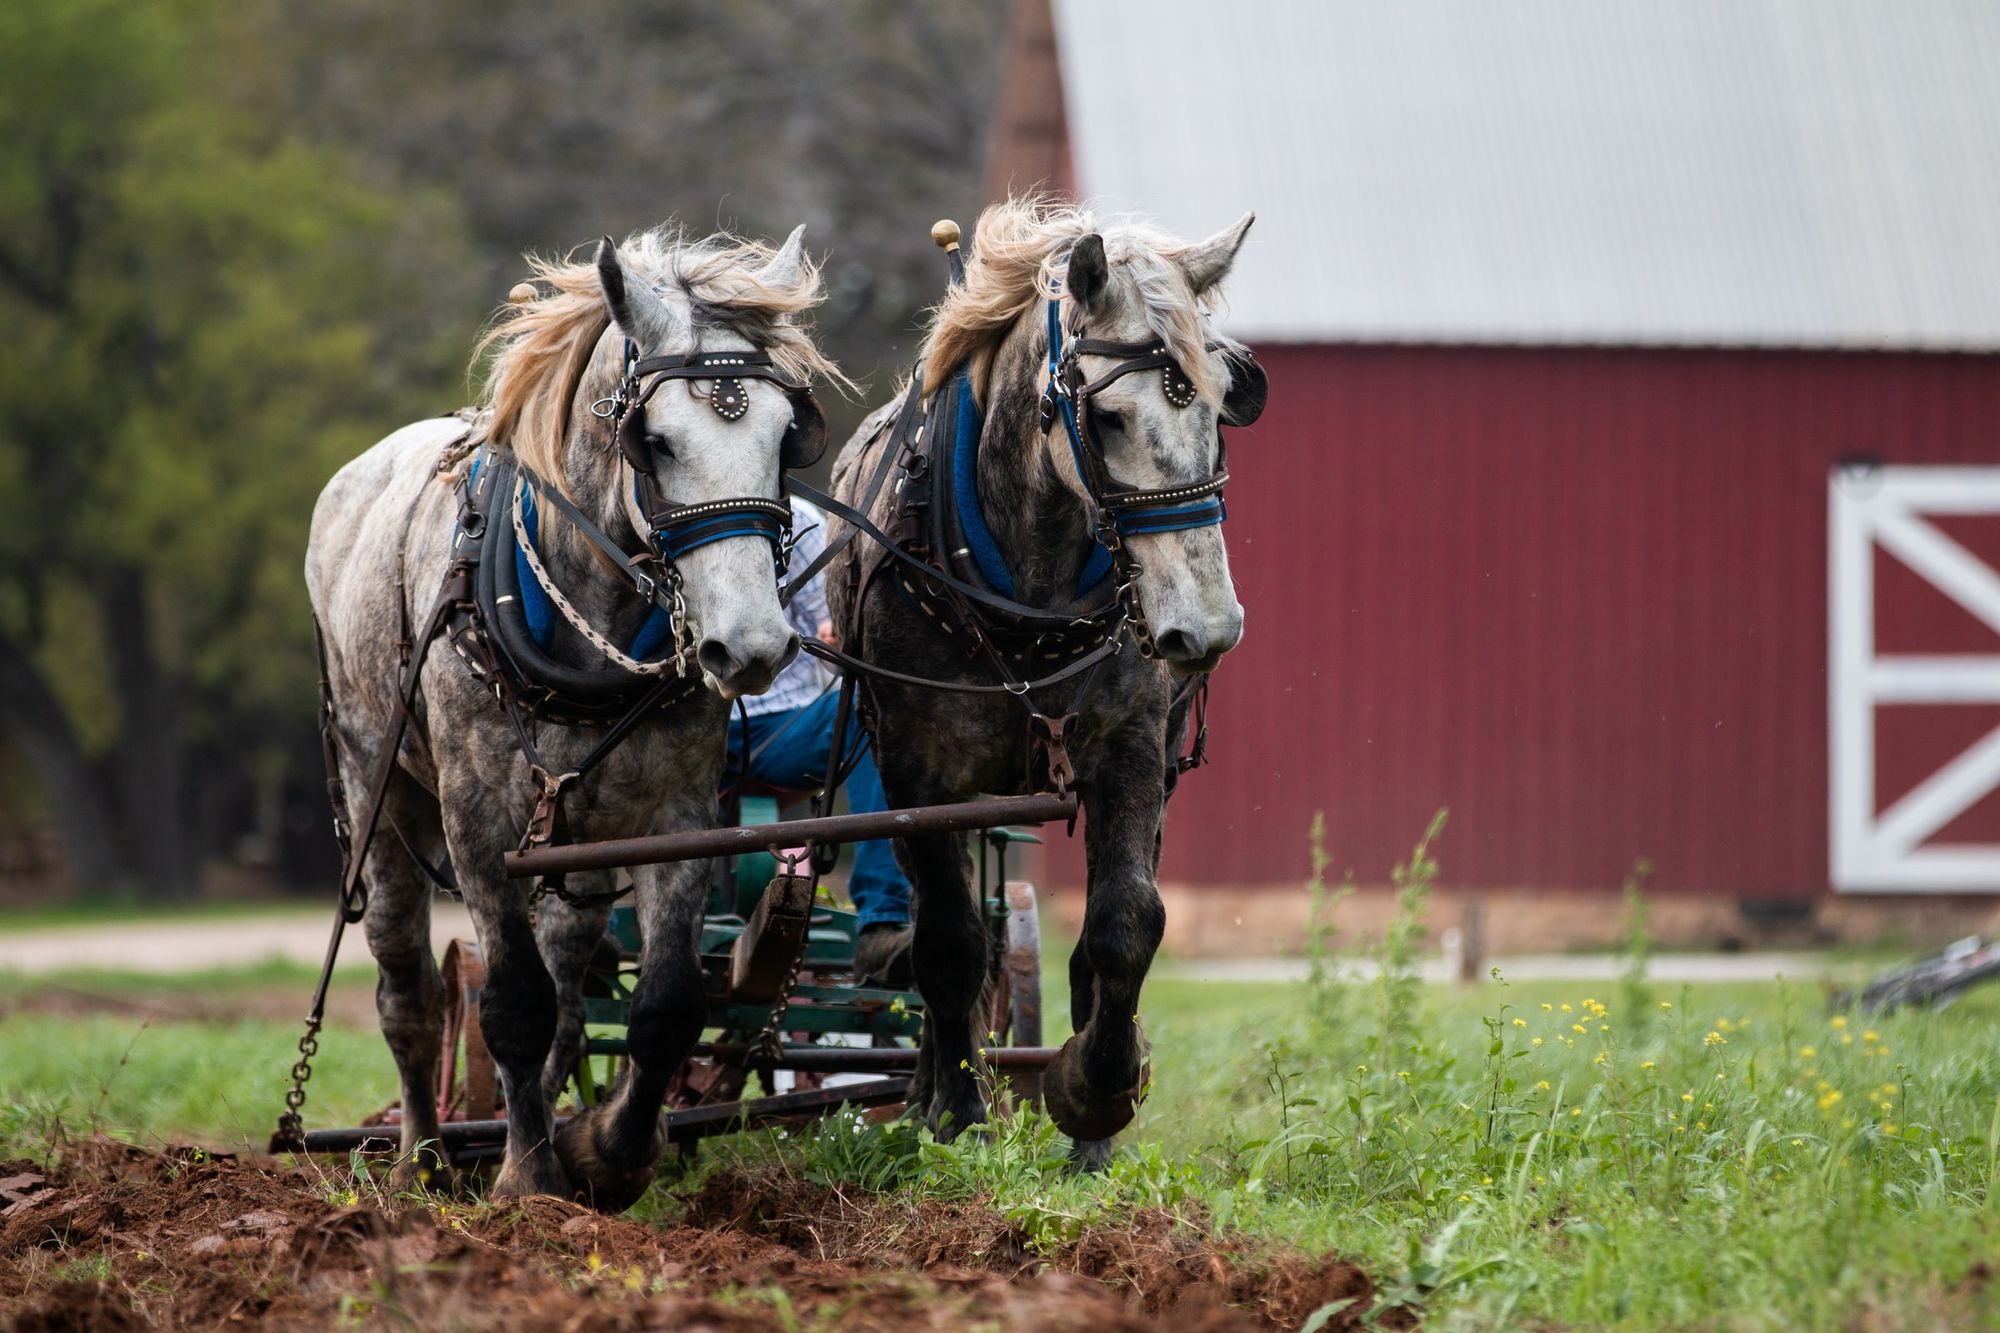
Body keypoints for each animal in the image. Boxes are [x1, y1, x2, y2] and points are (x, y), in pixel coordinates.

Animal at [306, 223, 843, 1207]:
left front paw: (606, 1152)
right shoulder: (480, 823)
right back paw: (427, 1156)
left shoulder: (677, 818)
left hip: (578, 847)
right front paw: (525, 1179)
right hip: (380, 792)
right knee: (411, 988)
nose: (750, 646)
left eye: (790, 438)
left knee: (568, 982)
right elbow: (510, 1003)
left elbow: (661, 1006)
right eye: (654, 441)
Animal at [824, 199, 1266, 1165]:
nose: (1206, 627)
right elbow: (951, 944)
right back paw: (928, 1090)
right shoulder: (919, 774)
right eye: (1108, 420)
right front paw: (956, 1113)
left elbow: (1126, 922)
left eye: (1222, 408)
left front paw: (1096, 1098)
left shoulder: (1131, 750)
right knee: (934, 933)